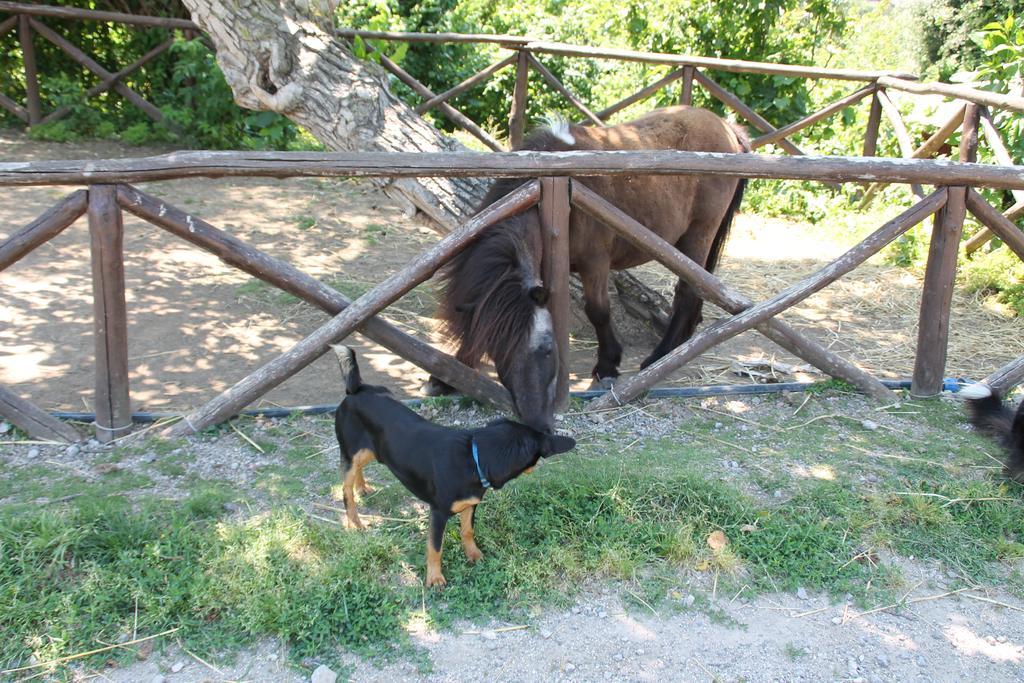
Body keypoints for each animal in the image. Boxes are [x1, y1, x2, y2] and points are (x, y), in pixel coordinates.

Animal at [333, 348, 577, 589]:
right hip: (349, 452)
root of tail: (357, 389)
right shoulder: (438, 513)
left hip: (369, 450)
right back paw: (355, 522)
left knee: (359, 470)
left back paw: (363, 488)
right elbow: (435, 548)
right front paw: (434, 578)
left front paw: (473, 554)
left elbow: (467, 531)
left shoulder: (470, 504)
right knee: (346, 491)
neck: (474, 458)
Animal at [428, 104, 749, 430]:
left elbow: (598, 311)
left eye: (546, 350)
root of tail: (726, 126)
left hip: (698, 235)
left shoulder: (595, 263)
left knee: (687, 292)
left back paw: (659, 357)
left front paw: (607, 365)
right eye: (498, 349)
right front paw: (449, 376)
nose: (534, 417)